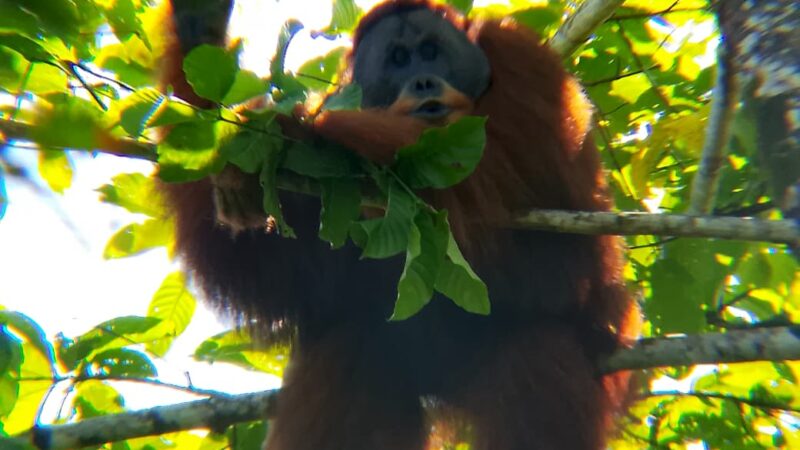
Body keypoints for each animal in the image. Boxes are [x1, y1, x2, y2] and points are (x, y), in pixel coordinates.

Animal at [160, 1, 639, 449]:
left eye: (430, 52)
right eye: (398, 59)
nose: (424, 81)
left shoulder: (524, 62)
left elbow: (498, 166)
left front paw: (288, 130)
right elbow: (271, 271)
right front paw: (199, 38)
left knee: (538, 350)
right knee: (351, 346)